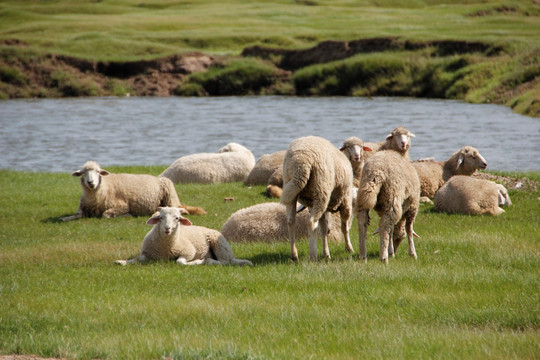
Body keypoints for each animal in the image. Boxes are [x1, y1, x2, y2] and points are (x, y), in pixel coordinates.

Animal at [60, 161, 206, 222]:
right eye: (83, 173)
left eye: (97, 172)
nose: (91, 182)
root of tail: (156, 178)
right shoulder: (83, 208)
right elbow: (75, 216)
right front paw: (64, 218)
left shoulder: (122, 205)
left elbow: (105, 215)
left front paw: (127, 215)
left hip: (170, 196)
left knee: (180, 209)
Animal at [116, 207, 253, 266]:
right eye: (161, 218)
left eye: (177, 218)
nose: (167, 228)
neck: (165, 248)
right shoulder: (147, 253)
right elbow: (139, 259)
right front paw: (122, 262)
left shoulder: (188, 252)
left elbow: (180, 262)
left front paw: (198, 261)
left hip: (220, 247)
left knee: (225, 262)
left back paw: (208, 261)